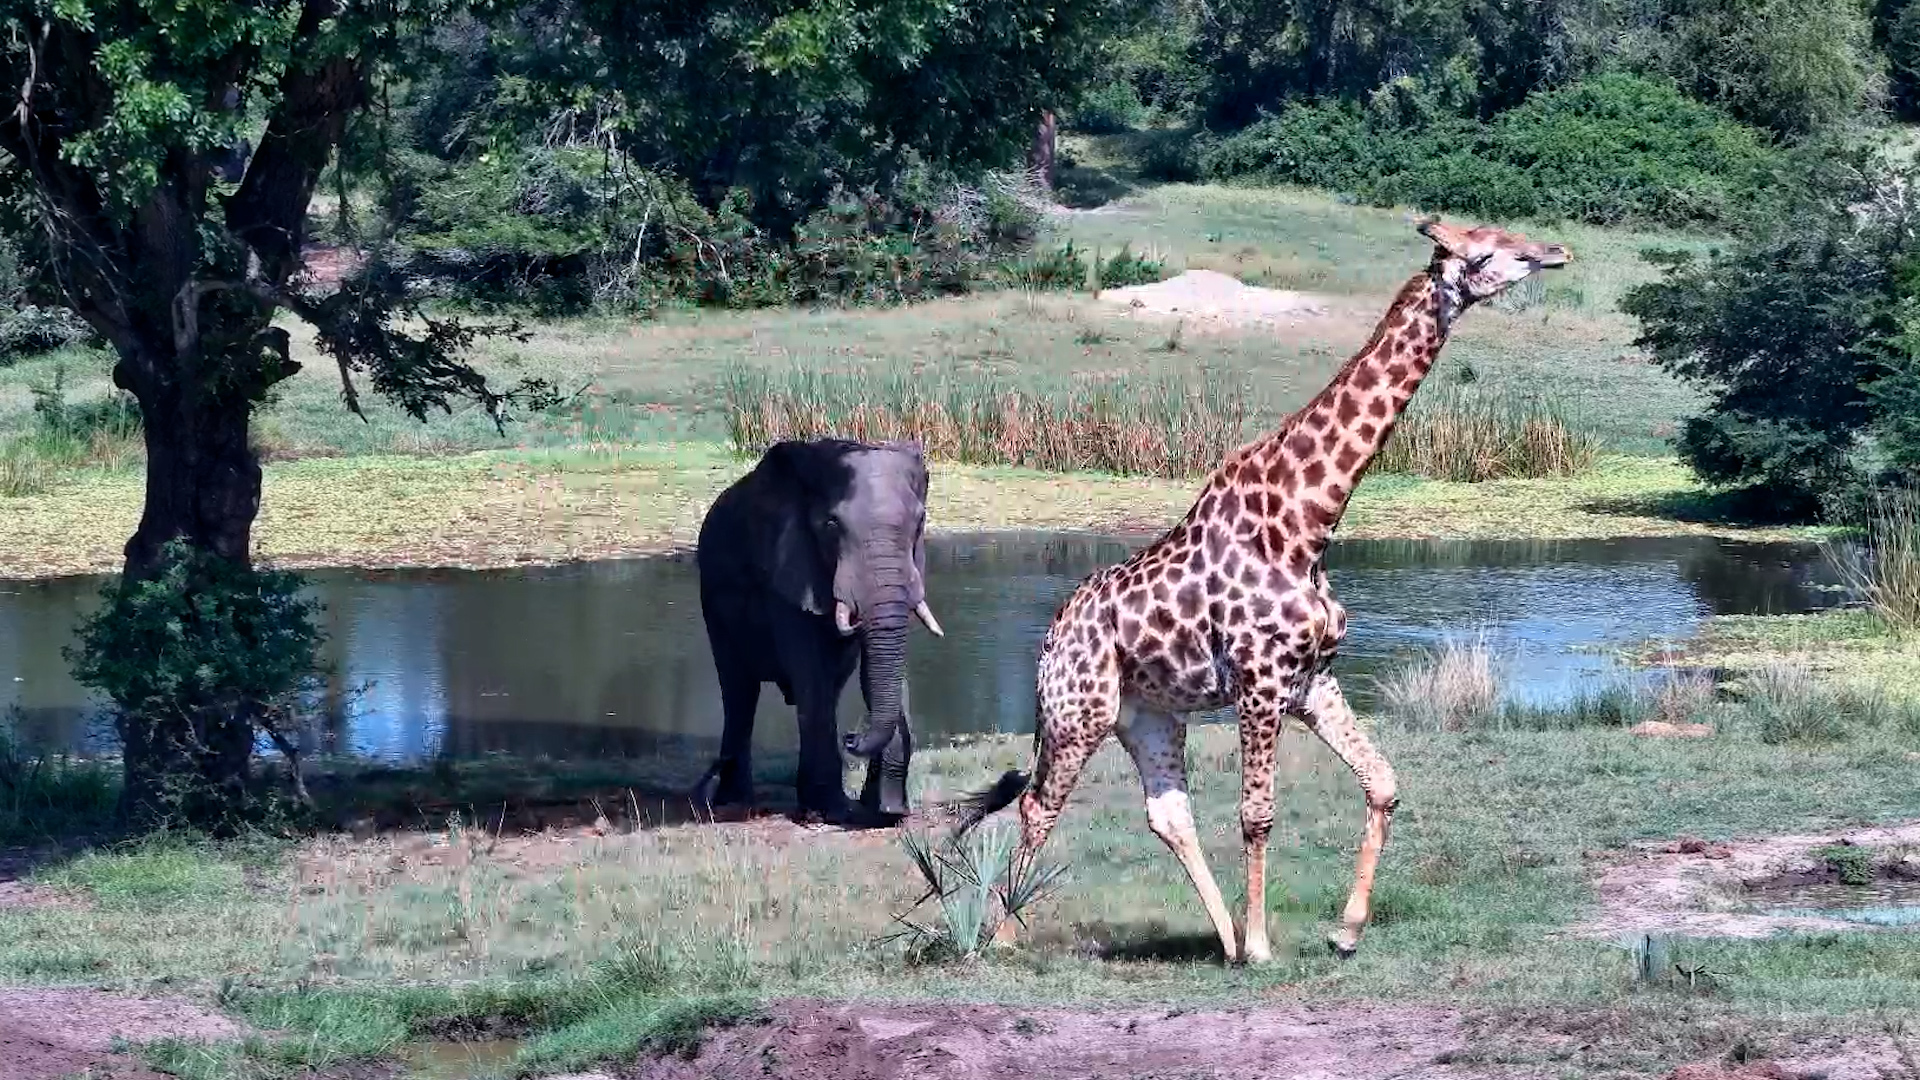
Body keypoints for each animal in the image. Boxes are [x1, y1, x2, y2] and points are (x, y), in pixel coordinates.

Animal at [691, 437, 944, 826]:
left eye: (920, 522)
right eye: (831, 525)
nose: (852, 737)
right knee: (739, 690)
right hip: (713, 599)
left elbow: (873, 667)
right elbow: (810, 670)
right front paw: (833, 812)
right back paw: (735, 803)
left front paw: (886, 811)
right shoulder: (785, 572)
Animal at [951, 218, 1570, 964]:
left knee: (1167, 814)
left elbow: (1384, 782)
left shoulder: (1312, 680)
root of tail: (1047, 641)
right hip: (1080, 713)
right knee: (1039, 805)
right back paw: (1003, 936)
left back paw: (1222, 941)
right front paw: (1265, 944)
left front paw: (1343, 931)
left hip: (1149, 715)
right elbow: (1257, 814)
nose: (1555, 252)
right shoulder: (1260, 680)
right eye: (1485, 250)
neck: (1308, 522)